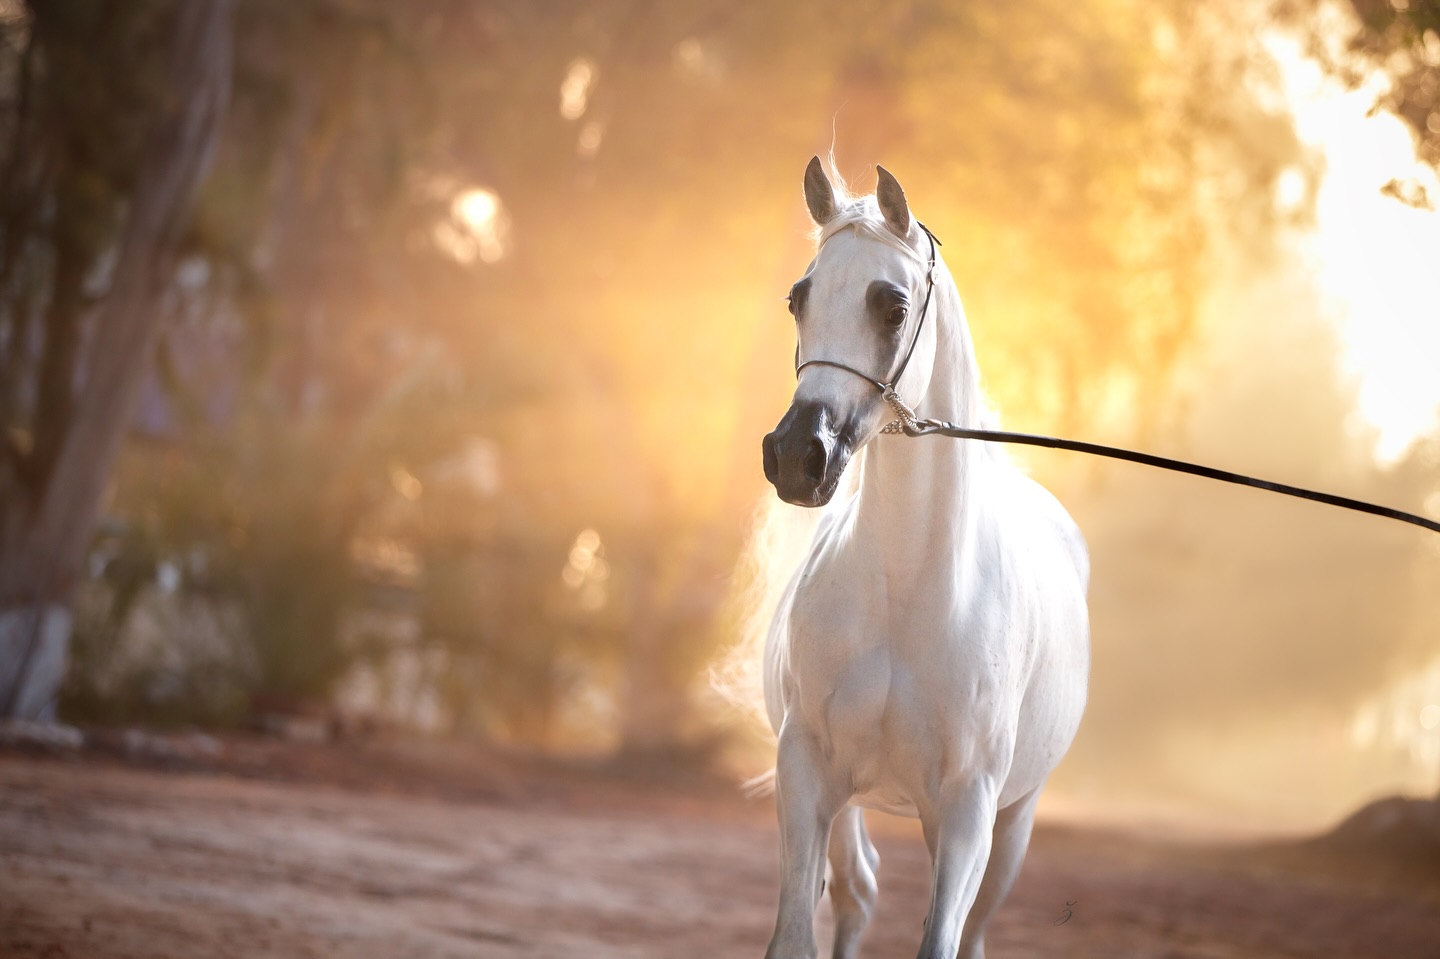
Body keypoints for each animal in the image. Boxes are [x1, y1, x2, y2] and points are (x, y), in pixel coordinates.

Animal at [757, 157, 1091, 959]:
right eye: (798, 298)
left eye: (891, 305)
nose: (797, 456)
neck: (905, 593)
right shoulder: (806, 773)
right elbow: (796, 936)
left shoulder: (968, 811)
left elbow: (941, 940)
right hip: (852, 809)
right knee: (858, 894)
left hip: (1011, 823)